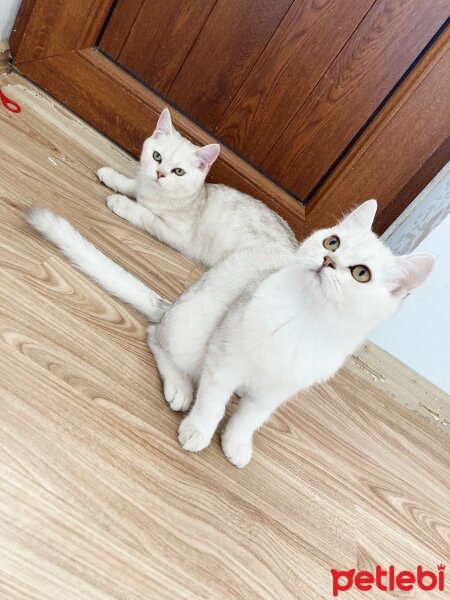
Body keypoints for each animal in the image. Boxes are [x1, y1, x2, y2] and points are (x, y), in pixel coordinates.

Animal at [26, 110, 434, 472]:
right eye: (332, 242)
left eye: (361, 274)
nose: (328, 260)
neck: (302, 318)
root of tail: (172, 306)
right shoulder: (226, 355)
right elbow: (132, 185)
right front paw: (116, 179)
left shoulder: (272, 390)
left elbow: (246, 418)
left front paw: (230, 442)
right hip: (192, 327)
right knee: (158, 336)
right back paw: (181, 385)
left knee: (161, 339)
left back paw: (184, 389)